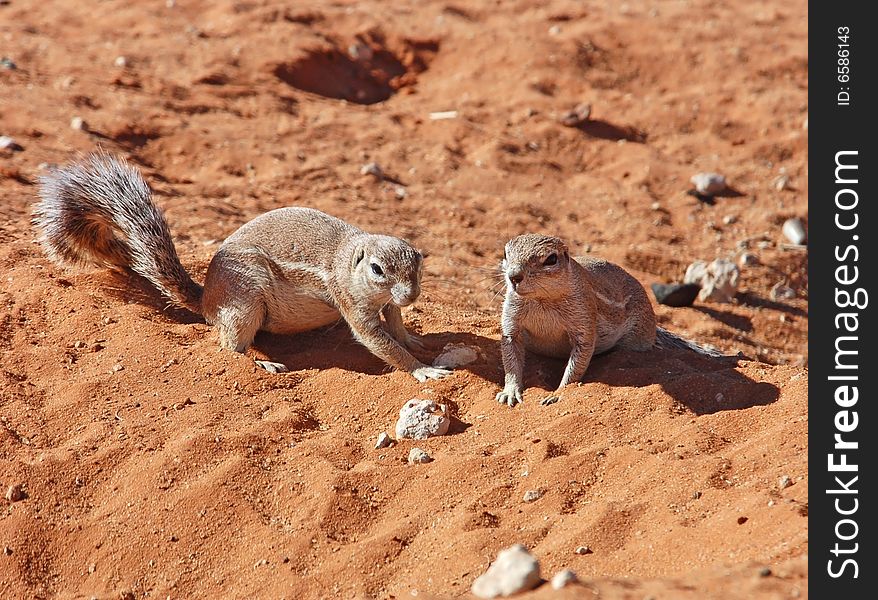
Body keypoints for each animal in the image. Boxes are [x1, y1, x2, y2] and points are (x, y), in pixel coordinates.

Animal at [32, 152, 454, 382]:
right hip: (245, 304)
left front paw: (414, 339)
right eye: (378, 269)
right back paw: (263, 364)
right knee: (229, 346)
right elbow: (379, 342)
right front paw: (422, 369)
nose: (412, 295)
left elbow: (396, 324)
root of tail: (206, 299)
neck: (348, 260)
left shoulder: (390, 304)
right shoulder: (352, 305)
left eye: (418, 265)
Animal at [496, 232, 728, 406]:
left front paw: (558, 393)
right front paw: (510, 391)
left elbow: (578, 362)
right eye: (505, 253)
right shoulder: (511, 322)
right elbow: (510, 356)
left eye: (550, 259)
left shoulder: (584, 319)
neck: (541, 300)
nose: (514, 276)